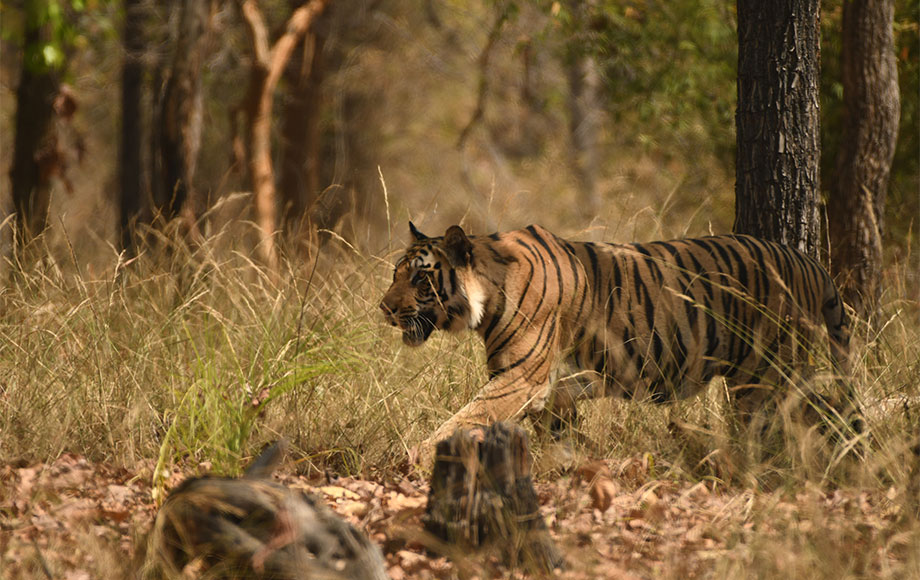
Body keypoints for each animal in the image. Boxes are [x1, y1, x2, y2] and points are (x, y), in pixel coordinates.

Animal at [380, 222, 856, 462]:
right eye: (395, 274)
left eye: (420, 279)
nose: (383, 308)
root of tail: (808, 261)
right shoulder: (556, 388)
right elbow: (557, 435)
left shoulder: (520, 379)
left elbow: (465, 416)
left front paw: (414, 455)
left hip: (764, 375)